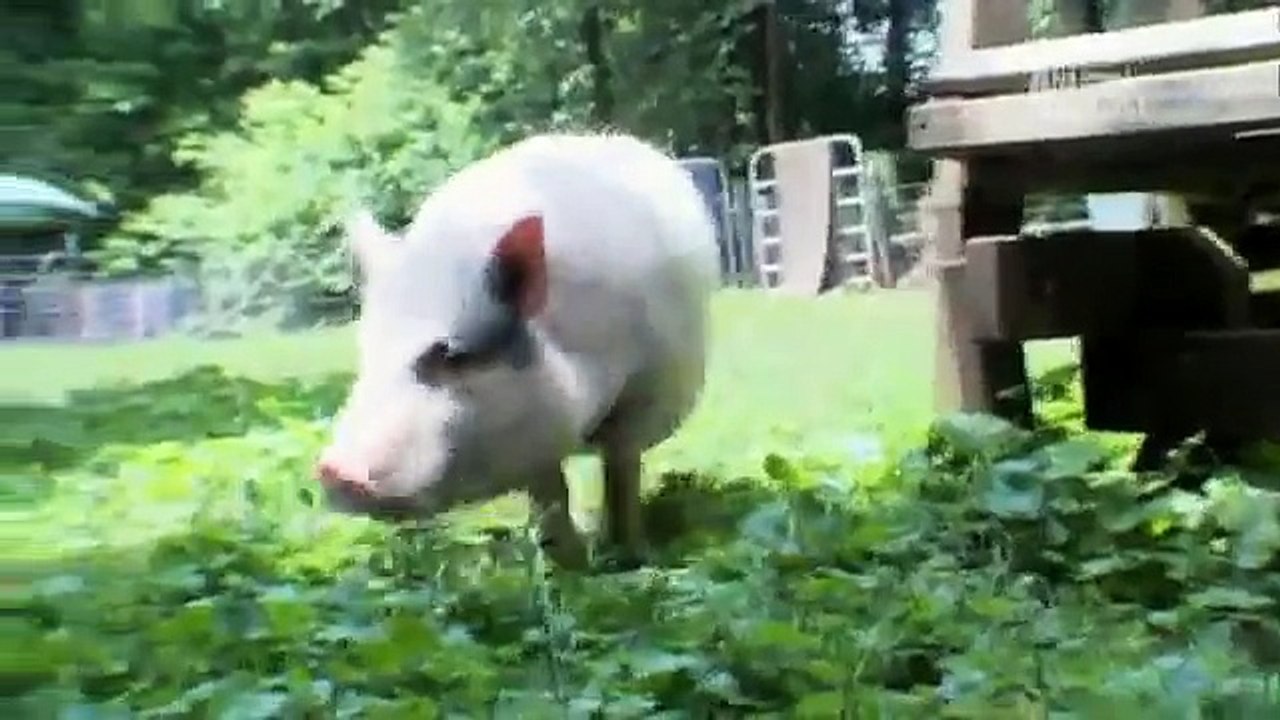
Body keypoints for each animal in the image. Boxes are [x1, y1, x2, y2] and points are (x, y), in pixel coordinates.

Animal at [314, 131, 719, 569]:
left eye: (452, 355)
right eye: (366, 353)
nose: (333, 468)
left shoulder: (645, 393)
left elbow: (621, 471)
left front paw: (629, 556)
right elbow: (549, 492)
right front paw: (564, 565)